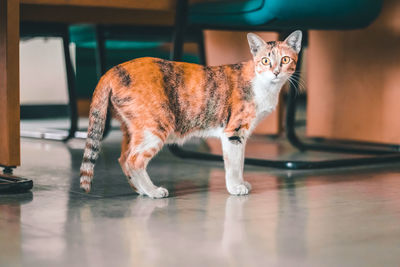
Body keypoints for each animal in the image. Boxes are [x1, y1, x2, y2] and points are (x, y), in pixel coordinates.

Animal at [79, 30, 302, 199]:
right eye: (265, 60)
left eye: (285, 59)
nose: (275, 72)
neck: (264, 85)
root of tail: (112, 71)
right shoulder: (234, 131)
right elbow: (234, 164)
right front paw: (235, 187)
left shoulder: (241, 135)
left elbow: (240, 161)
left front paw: (242, 183)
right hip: (155, 126)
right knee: (134, 160)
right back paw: (153, 191)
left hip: (133, 127)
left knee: (123, 158)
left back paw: (141, 190)